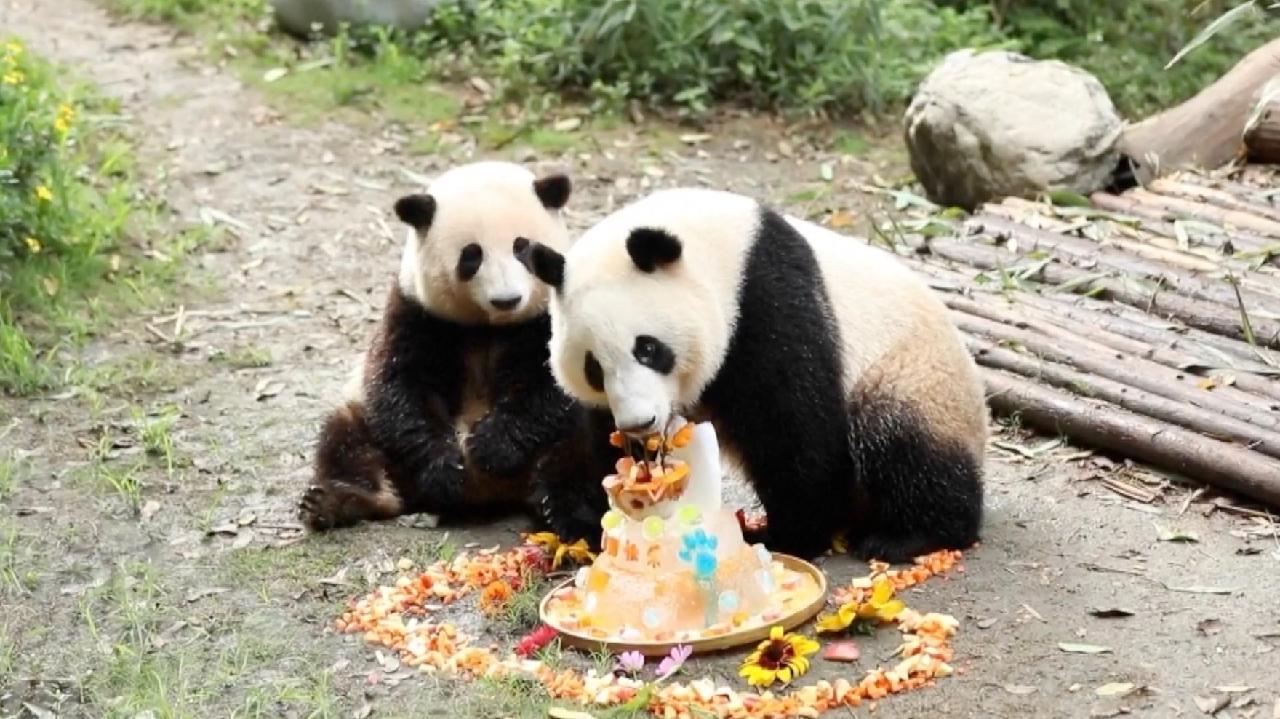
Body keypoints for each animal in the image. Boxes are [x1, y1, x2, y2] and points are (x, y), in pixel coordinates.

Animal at [299, 161, 582, 532]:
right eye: (471, 256)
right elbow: (403, 386)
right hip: (377, 439)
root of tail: (488, 494)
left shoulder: (547, 316)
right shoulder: (416, 312)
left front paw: (492, 447)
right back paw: (339, 500)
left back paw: (559, 507)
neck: (490, 325)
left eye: (521, 248)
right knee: (346, 435)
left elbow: (552, 384)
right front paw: (445, 469)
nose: (507, 299)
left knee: (580, 445)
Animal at [523, 188, 988, 562]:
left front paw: (792, 535)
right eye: (593, 368)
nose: (641, 423)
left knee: (902, 445)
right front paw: (586, 508)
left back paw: (906, 535)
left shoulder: (767, 305)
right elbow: (599, 436)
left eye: (649, 349)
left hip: (911, 378)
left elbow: (794, 427)